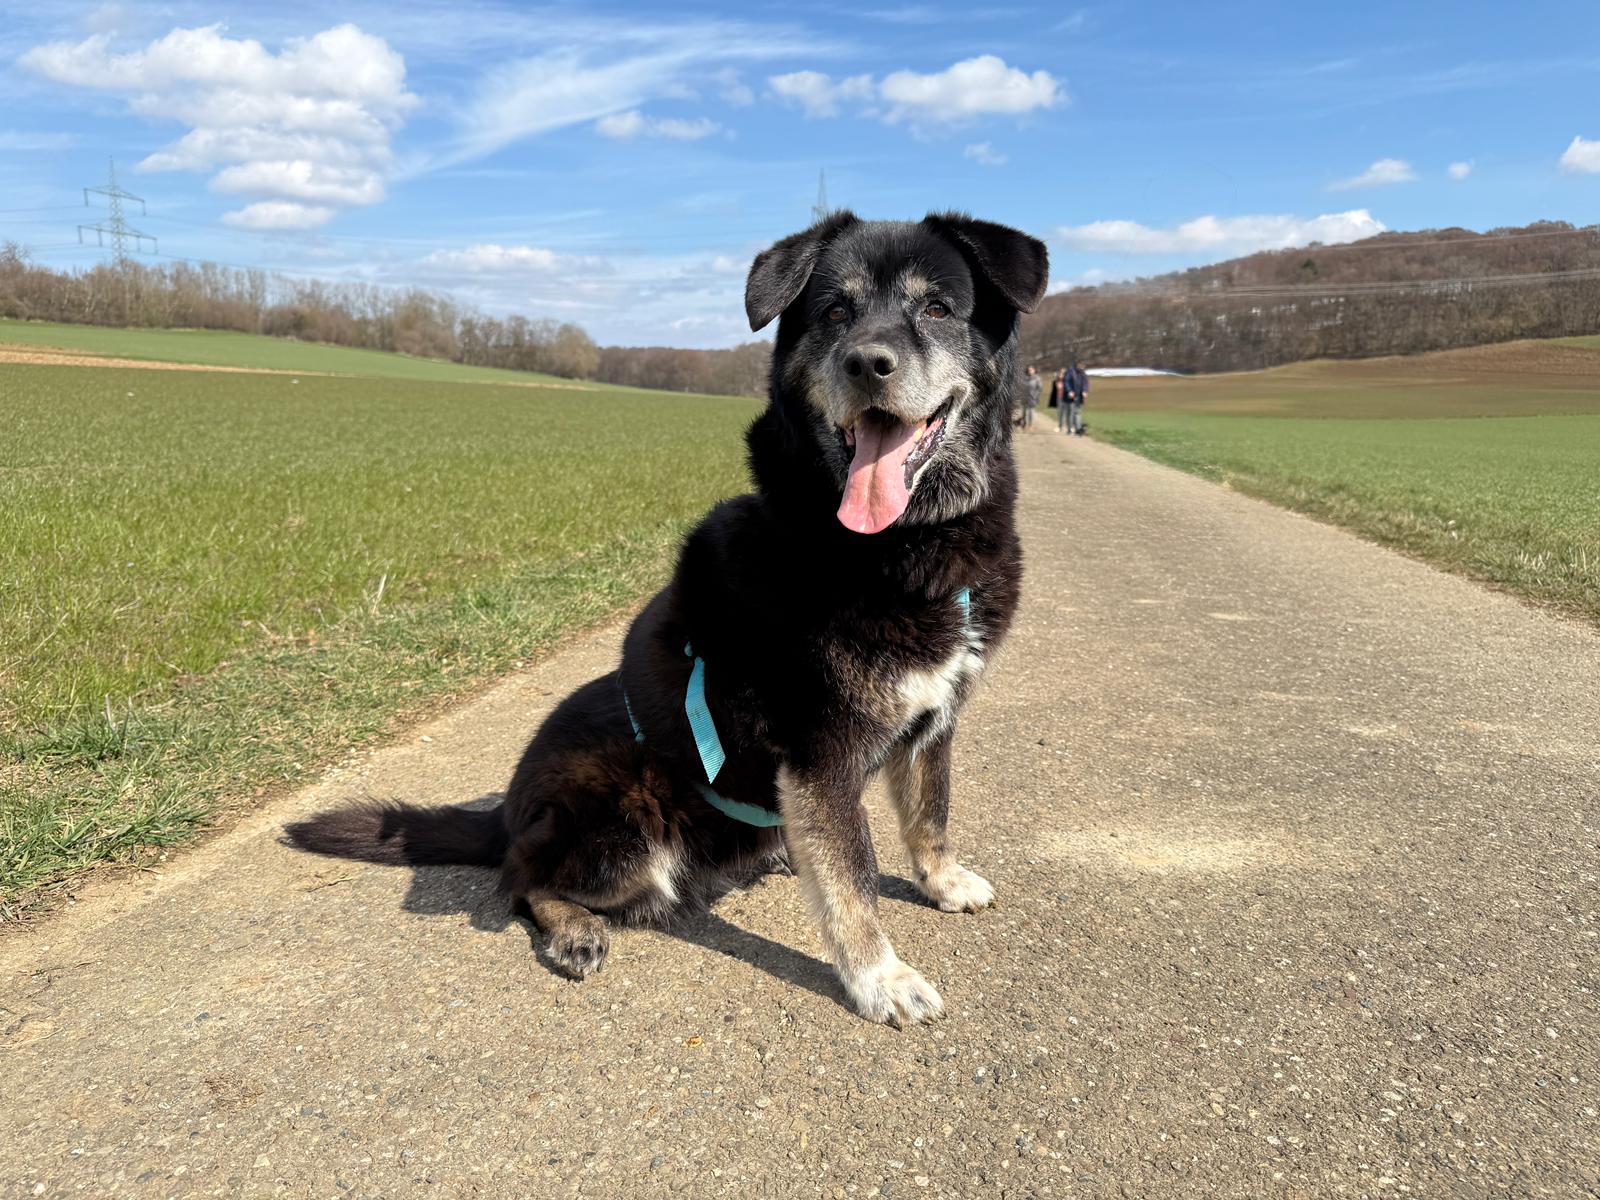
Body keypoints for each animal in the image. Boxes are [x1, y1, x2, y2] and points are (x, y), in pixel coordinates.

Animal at [286, 211, 1048, 1025]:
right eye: (835, 312)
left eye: (936, 307)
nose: (866, 364)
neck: (903, 547)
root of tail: (509, 811)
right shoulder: (822, 752)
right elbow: (853, 877)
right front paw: (880, 978)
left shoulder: (935, 717)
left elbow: (929, 811)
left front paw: (943, 882)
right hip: (625, 820)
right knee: (521, 879)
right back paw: (574, 929)